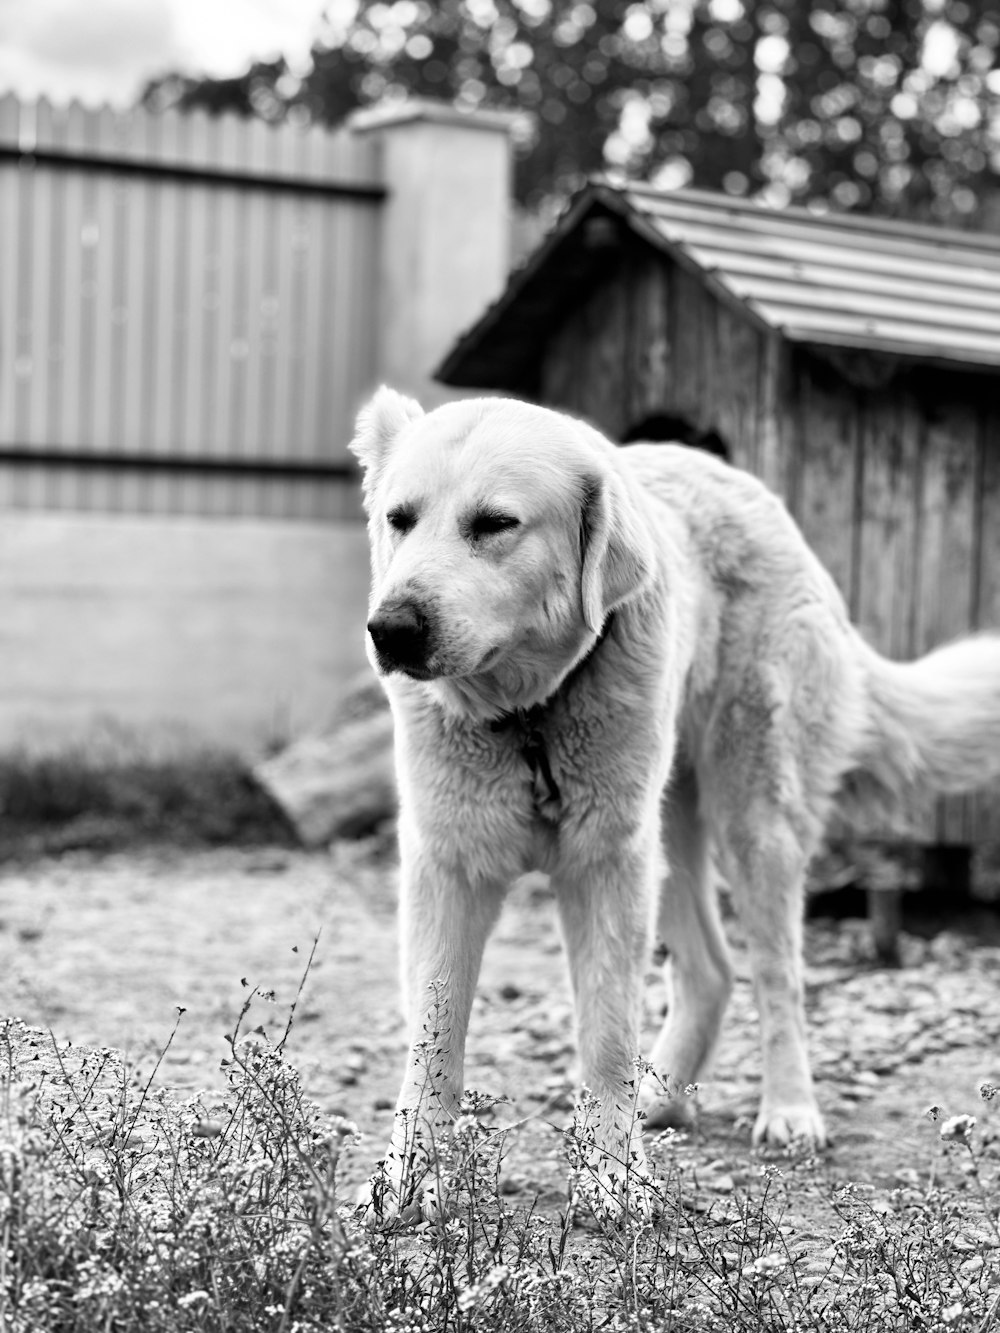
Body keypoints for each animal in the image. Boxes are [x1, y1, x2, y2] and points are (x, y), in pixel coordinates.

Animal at [349, 386, 1000, 1221]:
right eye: (399, 519)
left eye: (493, 524)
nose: (391, 628)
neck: (531, 715)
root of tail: (750, 488)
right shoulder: (448, 868)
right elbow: (435, 1035)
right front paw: (411, 1174)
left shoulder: (606, 865)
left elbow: (606, 1031)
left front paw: (612, 1173)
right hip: (669, 829)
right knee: (712, 970)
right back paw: (662, 1097)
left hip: (752, 820)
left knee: (778, 975)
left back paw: (789, 1110)